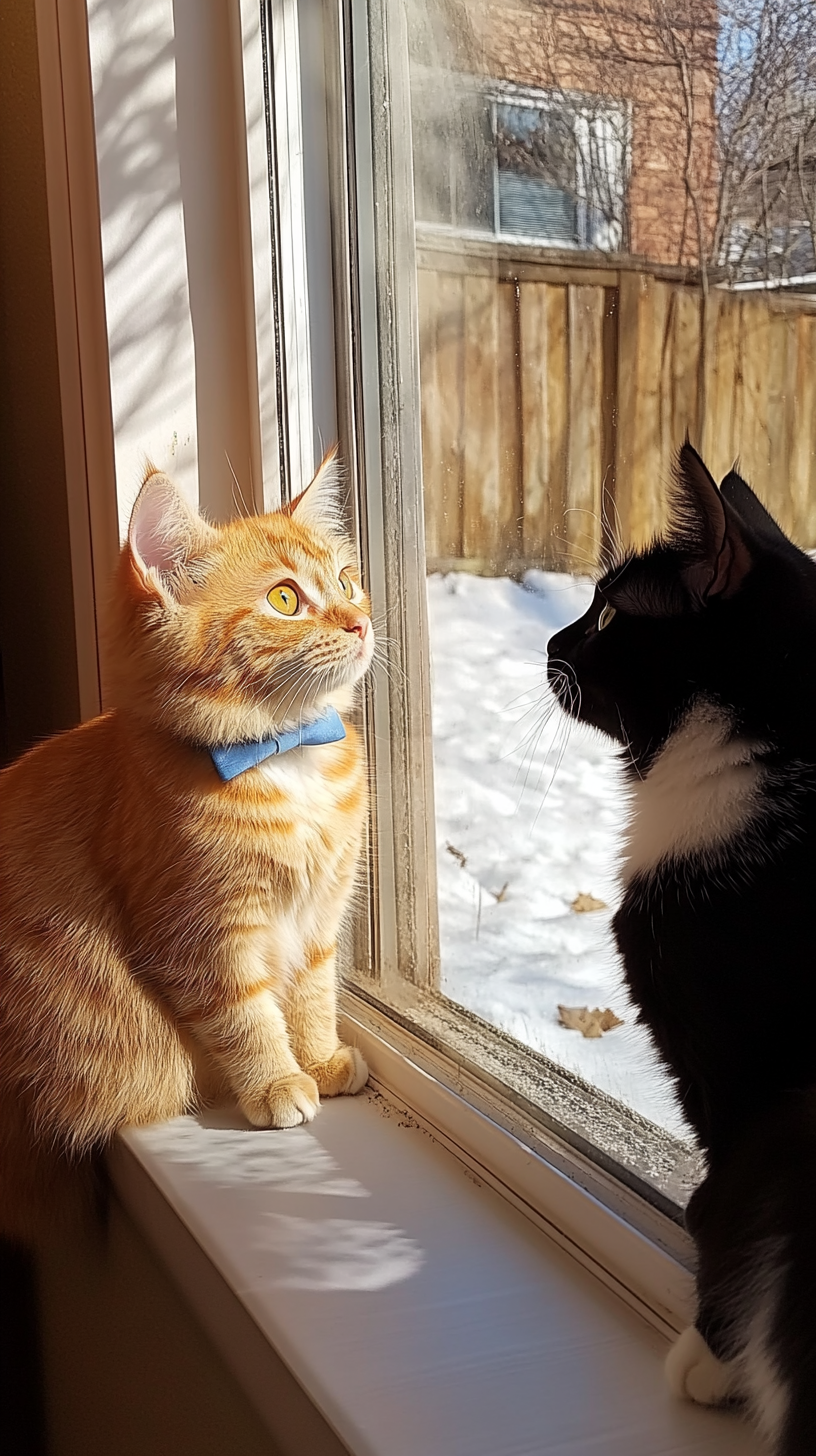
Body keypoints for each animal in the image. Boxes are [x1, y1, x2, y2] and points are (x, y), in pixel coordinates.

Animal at [0, 454, 373, 1240]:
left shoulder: (320, 920)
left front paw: (320, 1058)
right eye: (286, 599)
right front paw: (278, 1083)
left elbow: (312, 996)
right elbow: (248, 1015)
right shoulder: (199, 933)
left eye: (347, 579)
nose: (360, 622)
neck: (284, 763)